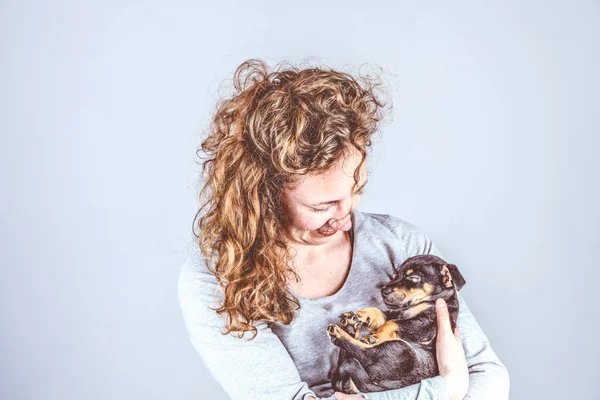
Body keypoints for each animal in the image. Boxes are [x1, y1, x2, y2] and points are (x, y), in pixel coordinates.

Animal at [326, 255, 466, 392]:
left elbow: (393, 323)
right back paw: (349, 326)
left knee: (362, 352)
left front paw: (376, 335)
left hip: (402, 351)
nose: (383, 291)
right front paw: (362, 315)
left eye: (413, 278)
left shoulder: (427, 323)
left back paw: (342, 334)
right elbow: (378, 313)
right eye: (394, 276)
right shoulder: (395, 313)